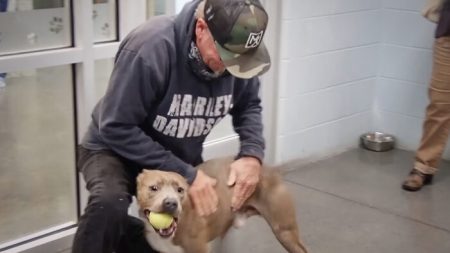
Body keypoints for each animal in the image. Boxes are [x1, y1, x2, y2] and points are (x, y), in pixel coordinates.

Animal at [135, 157, 308, 252]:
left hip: (285, 231)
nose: (171, 203)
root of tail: (270, 169)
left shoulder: (199, 249)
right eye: (153, 188)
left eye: (180, 190)